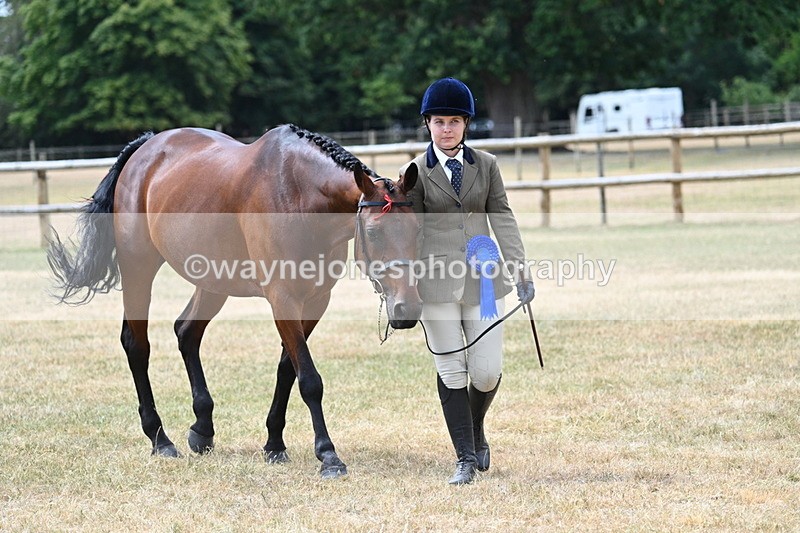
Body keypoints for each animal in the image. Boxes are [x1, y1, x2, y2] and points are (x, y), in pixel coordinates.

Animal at [47, 124, 422, 478]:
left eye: (417, 228)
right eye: (373, 232)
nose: (407, 309)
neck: (298, 193)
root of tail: (147, 147)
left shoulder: (316, 301)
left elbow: (288, 370)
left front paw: (274, 443)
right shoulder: (283, 299)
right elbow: (309, 380)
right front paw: (328, 456)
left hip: (213, 281)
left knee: (186, 332)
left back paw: (202, 430)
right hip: (138, 268)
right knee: (136, 345)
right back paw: (160, 439)